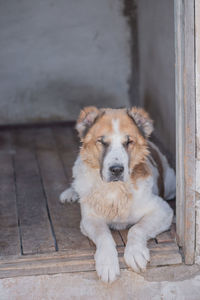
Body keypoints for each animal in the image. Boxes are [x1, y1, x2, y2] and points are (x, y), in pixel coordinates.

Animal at [59, 107, 175, 284]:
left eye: (128, 142)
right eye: (102, 142)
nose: (116, 170)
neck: (115, 190)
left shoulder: (163, 210)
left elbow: (136, 228)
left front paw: (135, 253)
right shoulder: (90, 219)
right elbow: (104, 235)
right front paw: (107, 262)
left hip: (171, 185)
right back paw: (71, 192)